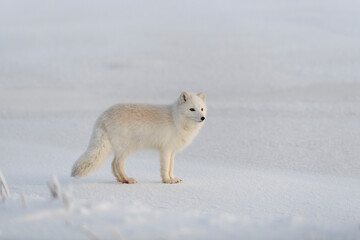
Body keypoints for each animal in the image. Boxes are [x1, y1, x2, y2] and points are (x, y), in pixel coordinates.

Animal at [71, 92, 205, 184]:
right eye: (192, 109)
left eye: (202, 109)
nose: (203, 117)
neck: (176, 120)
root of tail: (103, 116)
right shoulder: (165, 150)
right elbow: (165, 168)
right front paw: (167, 180)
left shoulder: (172, 151)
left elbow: (171, 167)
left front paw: (172, 178)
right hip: (126, 148)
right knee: (117, 164)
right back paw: (127, 179)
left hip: (121, 148)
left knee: (113, 164)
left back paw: (122, 180)